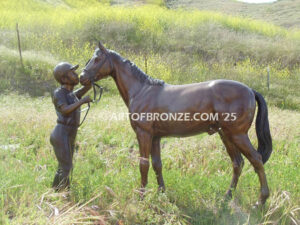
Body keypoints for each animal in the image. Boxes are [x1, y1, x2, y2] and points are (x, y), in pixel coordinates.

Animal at [79, 42, 272, 206]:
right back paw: (227, 197)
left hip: (237, 135)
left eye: (97, 59)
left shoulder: (144, 134)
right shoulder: (155, 137)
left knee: (256, 160)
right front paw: (162, 193)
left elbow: (143, 164)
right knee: (238, 163)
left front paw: (141, 197)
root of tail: (250, 90)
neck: (142, 90)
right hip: (226, 135)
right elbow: (157, 164)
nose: (82, 77)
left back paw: (260, 201)